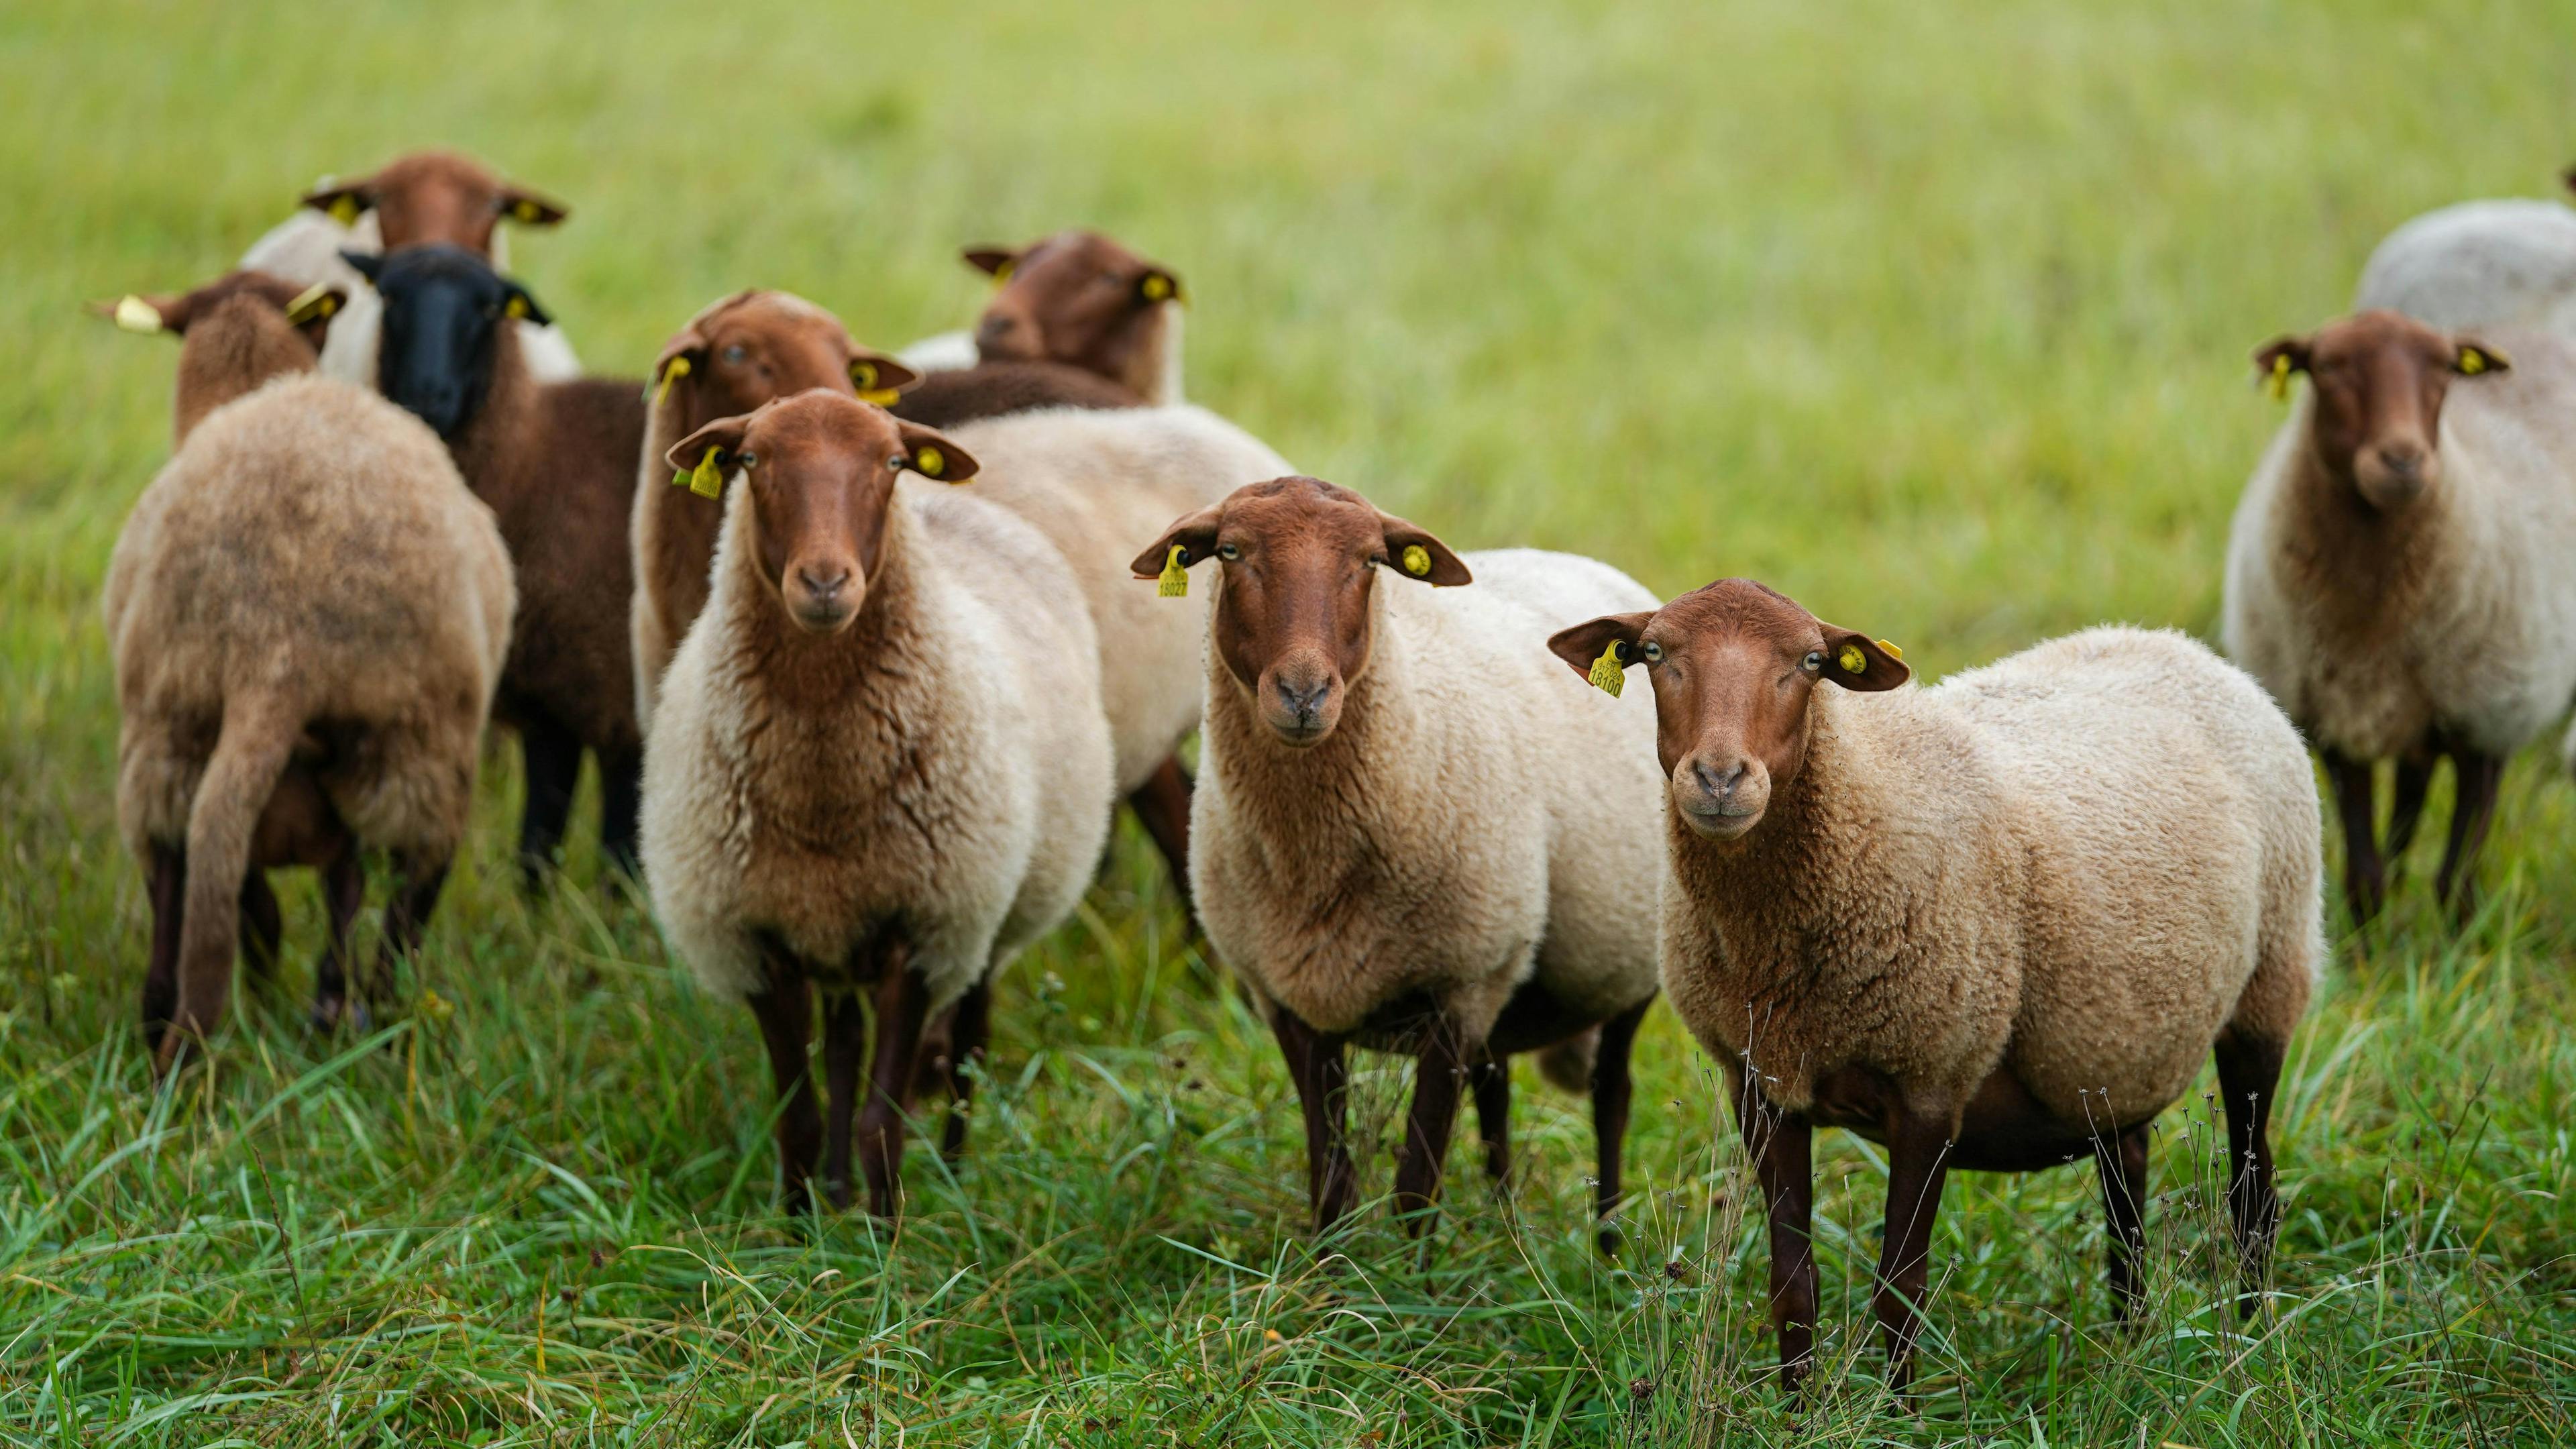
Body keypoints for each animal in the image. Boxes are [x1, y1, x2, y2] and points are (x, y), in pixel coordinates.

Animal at [100, 268, 513, 1072]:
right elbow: (335, 895)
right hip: (419, 743)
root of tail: (278, 635)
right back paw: (380, 1021)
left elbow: (274, 894)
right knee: (411, 899)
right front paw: (313, 996)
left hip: (167, 732)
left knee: (174, 889)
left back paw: (170, 1039)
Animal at [639, 389, 1112, 1212]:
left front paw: (885, 1237)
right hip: (835, 934)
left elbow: (880, 1126)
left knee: (969, 1046)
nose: (826, 583)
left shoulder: (923, 931)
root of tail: (973, 507)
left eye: (891, 462)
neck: (823, 791)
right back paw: (834, 1195)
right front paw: (798, 1229)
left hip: (988, 917)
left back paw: (953, 1176)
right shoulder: (757, 941)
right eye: (751, 459)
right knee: (845, 1043)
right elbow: (799, 1118)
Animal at [1133, 474, 1669, 1242]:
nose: (1303, 694)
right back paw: (1505, 1220)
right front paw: (1331, 1270)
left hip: (1621, 966)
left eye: (1370, 561)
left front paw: (1411, 1274)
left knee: (1611, 1097)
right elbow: (1332, 1181)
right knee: (1497, 1090)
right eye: (1231, 552)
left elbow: (1416, 1188)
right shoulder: (1291, 1000)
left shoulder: (1458, 986)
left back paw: (1608, 1243)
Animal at [1546, 582, 2339, 1392]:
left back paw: (2248, 1345)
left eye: (1810, 663)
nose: (1719, 780)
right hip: (2113, 1046)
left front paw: (1895, 1409)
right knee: (2127, 1194)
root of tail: (2176, 645)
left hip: (2269, 986)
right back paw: (2130, 1342)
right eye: (1653, 653)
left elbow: (1900, 1292)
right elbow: (1792, 1286)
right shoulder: (1761, 1085)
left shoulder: (1930, 1078)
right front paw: (1797, 1407)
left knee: (2252, 1203)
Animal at [2215, 309, 2576, 918]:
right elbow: (2365, 876)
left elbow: (2456, 883)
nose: (2403, 460)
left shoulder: (2488, 722)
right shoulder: (2336, 727)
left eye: (2446, 368)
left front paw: (2457, 939)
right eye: (2328, 365)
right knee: (2410, 799)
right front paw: (2372, 937)